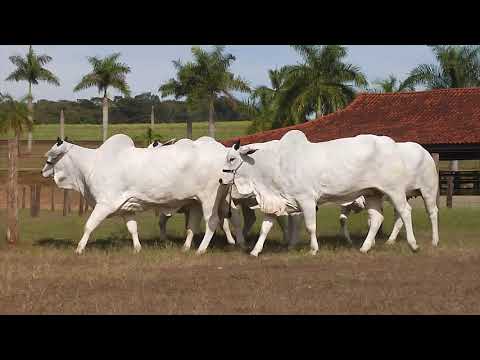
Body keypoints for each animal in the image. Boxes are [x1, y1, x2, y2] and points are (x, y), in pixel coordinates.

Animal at [41, 134, 240, 255]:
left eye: (49, 158)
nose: (43, 171)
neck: (90, 165)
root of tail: (223, 151)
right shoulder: (126, 208)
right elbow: (133, 228)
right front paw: (137, 248)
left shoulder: (105, 204)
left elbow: (89, 226)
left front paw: (79, 249)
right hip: (197, 201)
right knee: (195, 224)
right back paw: (186, 247)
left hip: (210, 199)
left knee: (213, 222)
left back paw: (202, 249)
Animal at [219, 129, 422, 256]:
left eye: (232, 158)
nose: (221, 180)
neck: (276, 163)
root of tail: (391, 144)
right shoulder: (277, 200)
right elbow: (265, 227)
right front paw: (255, 251)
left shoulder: (307, 200)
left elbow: (310, 226)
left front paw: (314, 249)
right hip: (372, 193)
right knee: (377, 218)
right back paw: (364, 248)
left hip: (394, 190)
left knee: (405, 212)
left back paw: (413, 245)